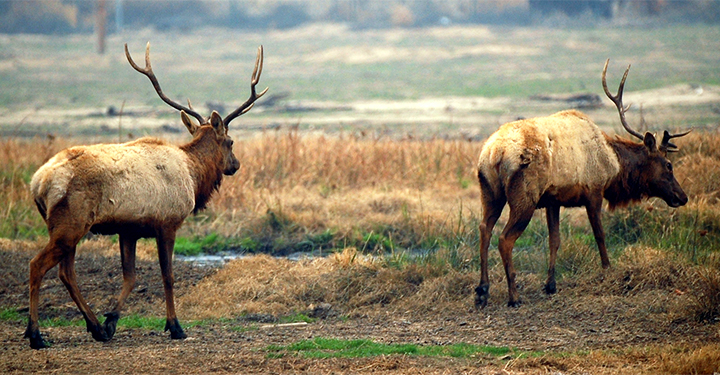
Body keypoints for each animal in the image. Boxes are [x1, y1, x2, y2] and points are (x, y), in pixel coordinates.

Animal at [25, 41, 268, 350]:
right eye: (231, 141)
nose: (235, 165)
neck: (193, 175)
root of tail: (38, 182)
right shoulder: (168, 223)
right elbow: (168, 276)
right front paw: (175, 326)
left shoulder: (128, 229)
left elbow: (130, 277)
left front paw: (111, 321)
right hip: (70, 223)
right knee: (38, 265)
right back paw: (35, 334)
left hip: (67, 227)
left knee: (66, 273)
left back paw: (95, 327)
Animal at [476, 59, 688, 308]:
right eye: (668, 165)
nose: (682, 196)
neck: (614, 166)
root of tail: (494, 152)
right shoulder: (594, 191)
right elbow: (600, 234)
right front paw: (607, 269)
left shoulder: (553, 200)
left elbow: (555, 240)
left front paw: (551, 284)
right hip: (524, 197)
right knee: (504, 239)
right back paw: (513, 296)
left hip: (489, 191)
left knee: (484, 229)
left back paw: (482, 291)